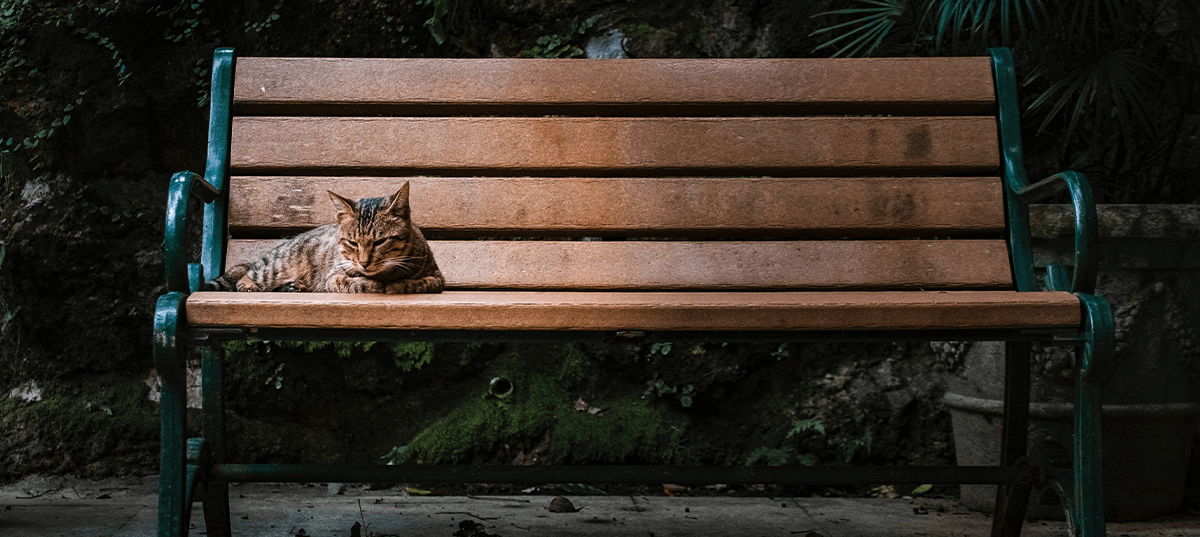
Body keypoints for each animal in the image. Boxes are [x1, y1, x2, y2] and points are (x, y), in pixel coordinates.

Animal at [204, 183, 448, 293]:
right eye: (352, 243)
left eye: (380, 242)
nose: (364, 262)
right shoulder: (332, 277)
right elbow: (349, 281)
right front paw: (371, 284)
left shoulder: (437, 277)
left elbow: (420, 282)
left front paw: (398, 285)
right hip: (274, 267)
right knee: (247, 274)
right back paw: (251, 286)